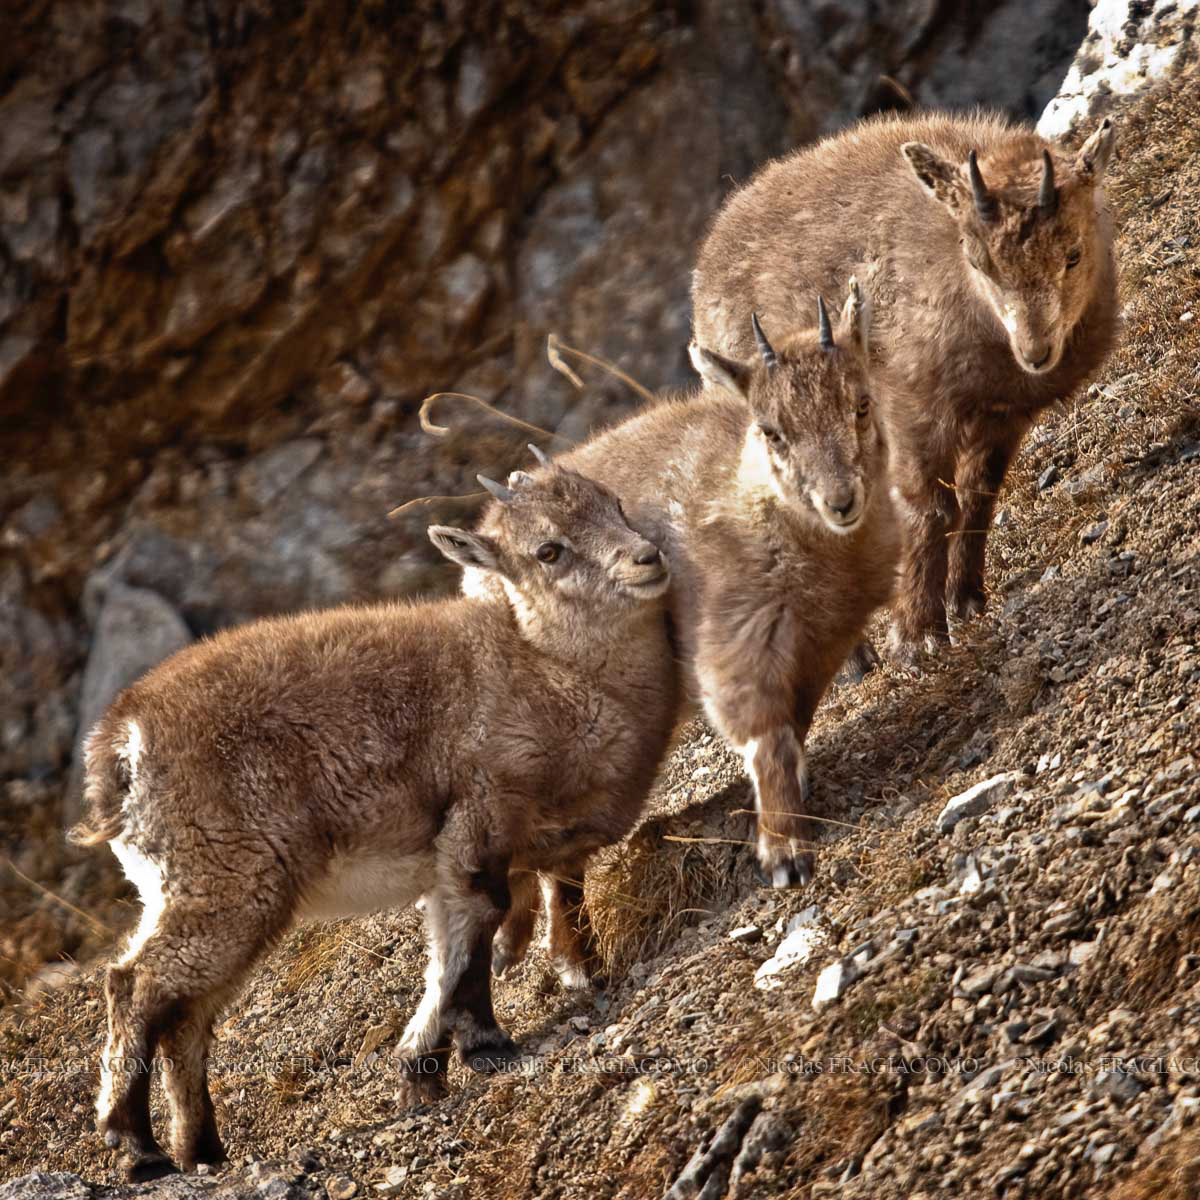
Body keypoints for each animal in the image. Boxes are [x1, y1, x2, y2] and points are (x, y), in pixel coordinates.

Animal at [68, 463, 679, 1182]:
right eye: (548, 550)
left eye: (614, 504)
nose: (647, 557)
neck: (554, 672)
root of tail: (120, 743)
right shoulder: (478, 813)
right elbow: (473, 926)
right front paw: (480, 1044)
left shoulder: (536, 839)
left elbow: (541, 902)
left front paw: (439, 1057)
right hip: (226, 876)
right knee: (136, 986)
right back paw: (137, 1148)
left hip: (203, 888)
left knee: (186, 1016)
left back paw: (200, 1150)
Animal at [471, 284, 899, 1000]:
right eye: (772, 430)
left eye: (861, 402)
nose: (840, 501)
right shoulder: (730, 649)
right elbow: (766, 739)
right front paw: (783, 853)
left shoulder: (821, 647)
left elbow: (795, 727)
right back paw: (550, 953)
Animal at [692, 111, 1119, 665]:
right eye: (977, 260)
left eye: (1072, 253)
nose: (1036, 352)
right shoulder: (909, 406)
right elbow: (928, 505)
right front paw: (917, 637)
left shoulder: (1001, 417)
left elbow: (979, 493)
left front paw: (966, 601)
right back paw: (854, 658)